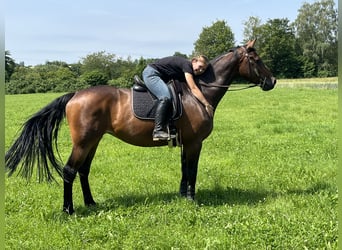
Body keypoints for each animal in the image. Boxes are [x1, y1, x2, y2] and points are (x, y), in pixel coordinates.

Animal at [6, 39, 276, 215]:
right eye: (256, 59)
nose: (272, 81)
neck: (198, 93)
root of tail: (75, 95)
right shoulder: (194, 143)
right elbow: (192, 171)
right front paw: (191, 199)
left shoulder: (184, 143)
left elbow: (183, 169)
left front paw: (181, 196)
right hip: (83, 142)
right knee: (70, 171)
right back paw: (68, 210)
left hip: (93, 141)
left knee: (83, 171)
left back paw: (91, 203)